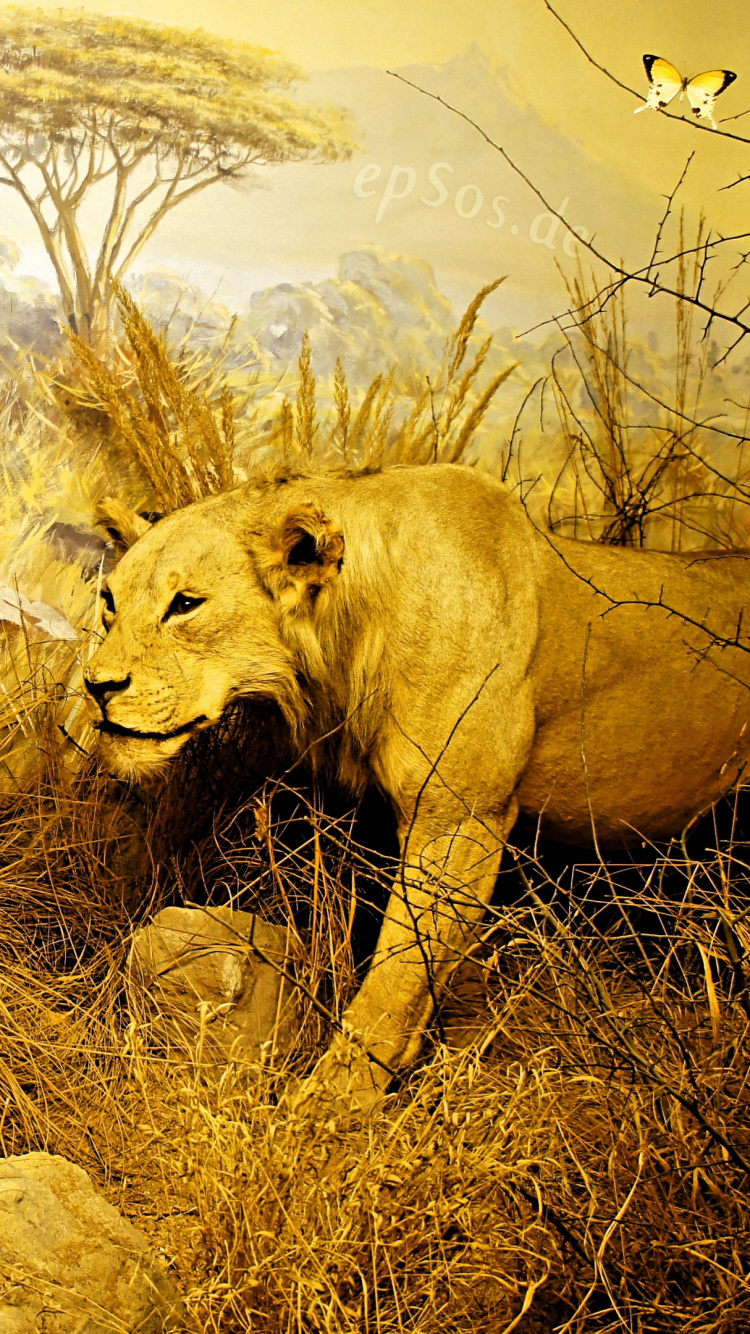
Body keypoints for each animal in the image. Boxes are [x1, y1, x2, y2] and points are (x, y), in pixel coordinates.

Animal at [86, 464, 750, 1107]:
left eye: (185, 604)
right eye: (108, 603)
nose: (96, 685)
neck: (348, 638)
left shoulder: (459, 817)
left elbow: (397, 976)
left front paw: (328, 1108)